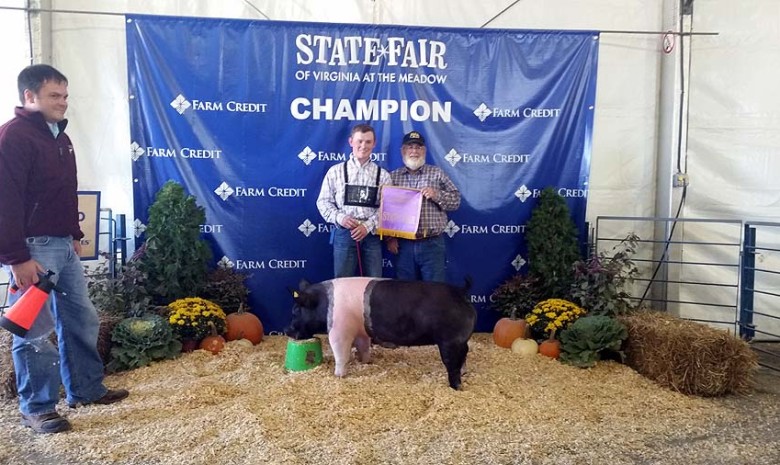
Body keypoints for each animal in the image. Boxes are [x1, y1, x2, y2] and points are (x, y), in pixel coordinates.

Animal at [286, 276, 476, 388]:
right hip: (461, 340)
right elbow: (363, 347)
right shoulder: (361, 332)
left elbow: (341, 354)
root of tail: (461, 291)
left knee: (452, 362)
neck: (324, 305)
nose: (286, 330)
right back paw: (464, 373)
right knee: (465, 354)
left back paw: (455, 387)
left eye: (296, 311)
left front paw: (338, 376)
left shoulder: (339, 330)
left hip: (450, 341)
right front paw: (365, 361)